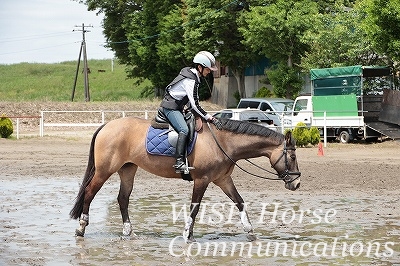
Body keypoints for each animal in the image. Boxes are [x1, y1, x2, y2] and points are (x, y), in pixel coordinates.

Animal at [69, 117, 300, 242]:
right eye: (293, 157)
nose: (296, 183)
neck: (223, 142)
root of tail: (107, 125)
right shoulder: (202, 180)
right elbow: (194, 208)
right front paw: (188, 234)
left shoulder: (223, 180)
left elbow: (240, 202)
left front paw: (250, 232)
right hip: (104, 171)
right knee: (89, 192)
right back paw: (81, 228)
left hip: (127, 170)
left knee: (123, 199)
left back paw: (129, 232)